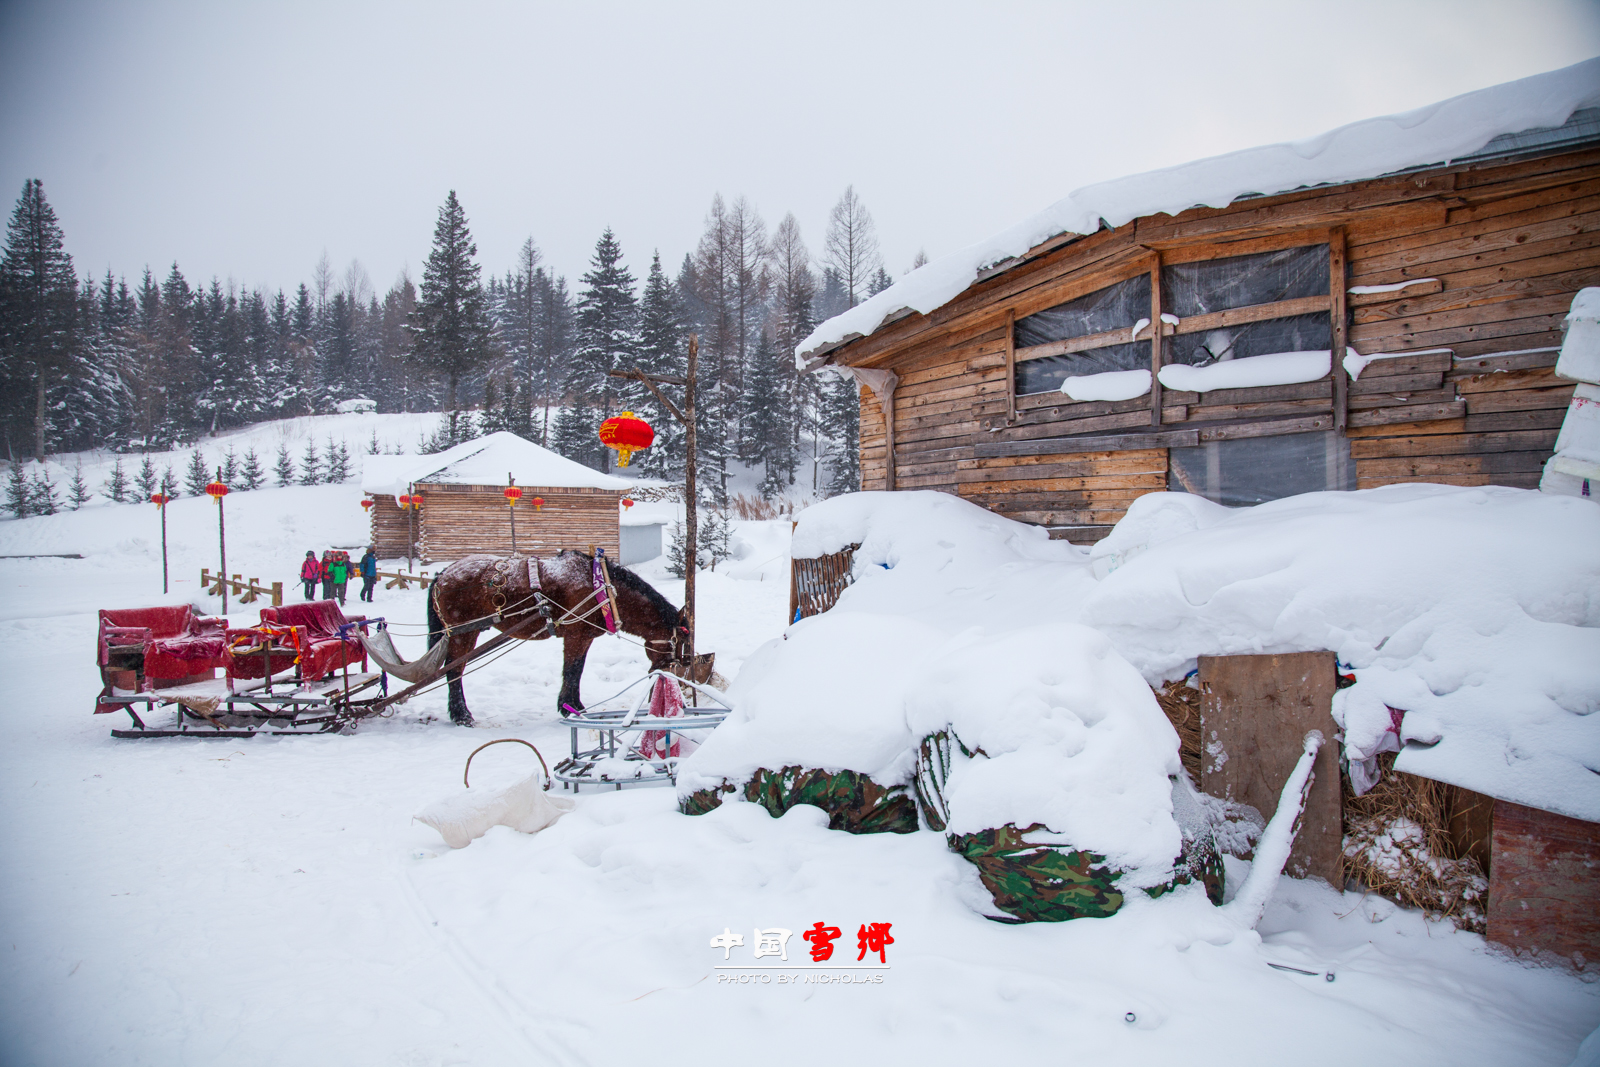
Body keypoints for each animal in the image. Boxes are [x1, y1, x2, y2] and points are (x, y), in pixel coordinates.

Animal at [422, 550, 684, 726]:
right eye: (679, 640)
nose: (673, 667)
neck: (602, 589)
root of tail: (443, 574)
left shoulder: (585, 636)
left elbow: (577, 669)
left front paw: (575, 706)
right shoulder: (576, 634)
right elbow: (572, 669)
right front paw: (569, 707)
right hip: (464, 632)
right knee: (454, 671)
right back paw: (461, 714)